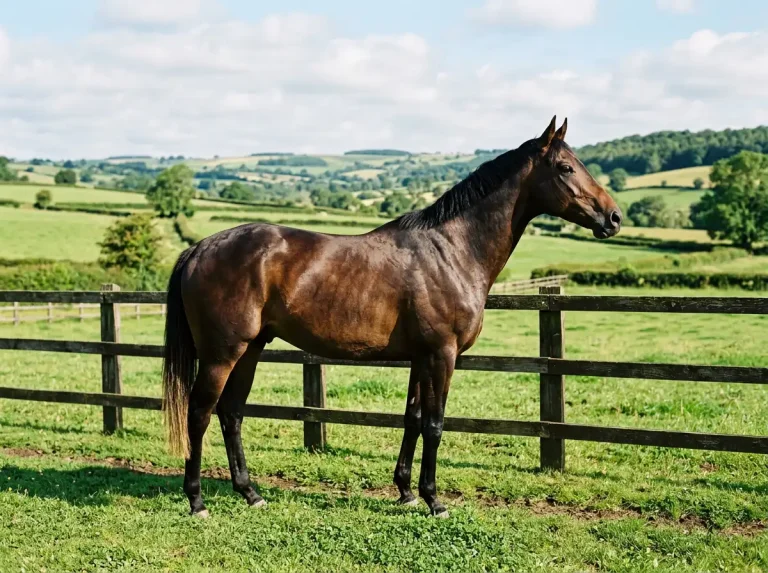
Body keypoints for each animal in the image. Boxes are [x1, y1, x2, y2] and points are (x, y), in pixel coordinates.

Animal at [162, 116, 622, 518]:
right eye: (565, 167)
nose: (614, 217)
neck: (452, 250)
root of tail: (199, 248)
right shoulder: (442, 355)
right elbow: (435, 424)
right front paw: (434, 500)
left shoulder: (421, 357)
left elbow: (412, 419)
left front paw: (406, 492)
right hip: (223, 353)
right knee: (200, 413)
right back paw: (197, 501)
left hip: (251, 348)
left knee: (231, 413)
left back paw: (251, 493)